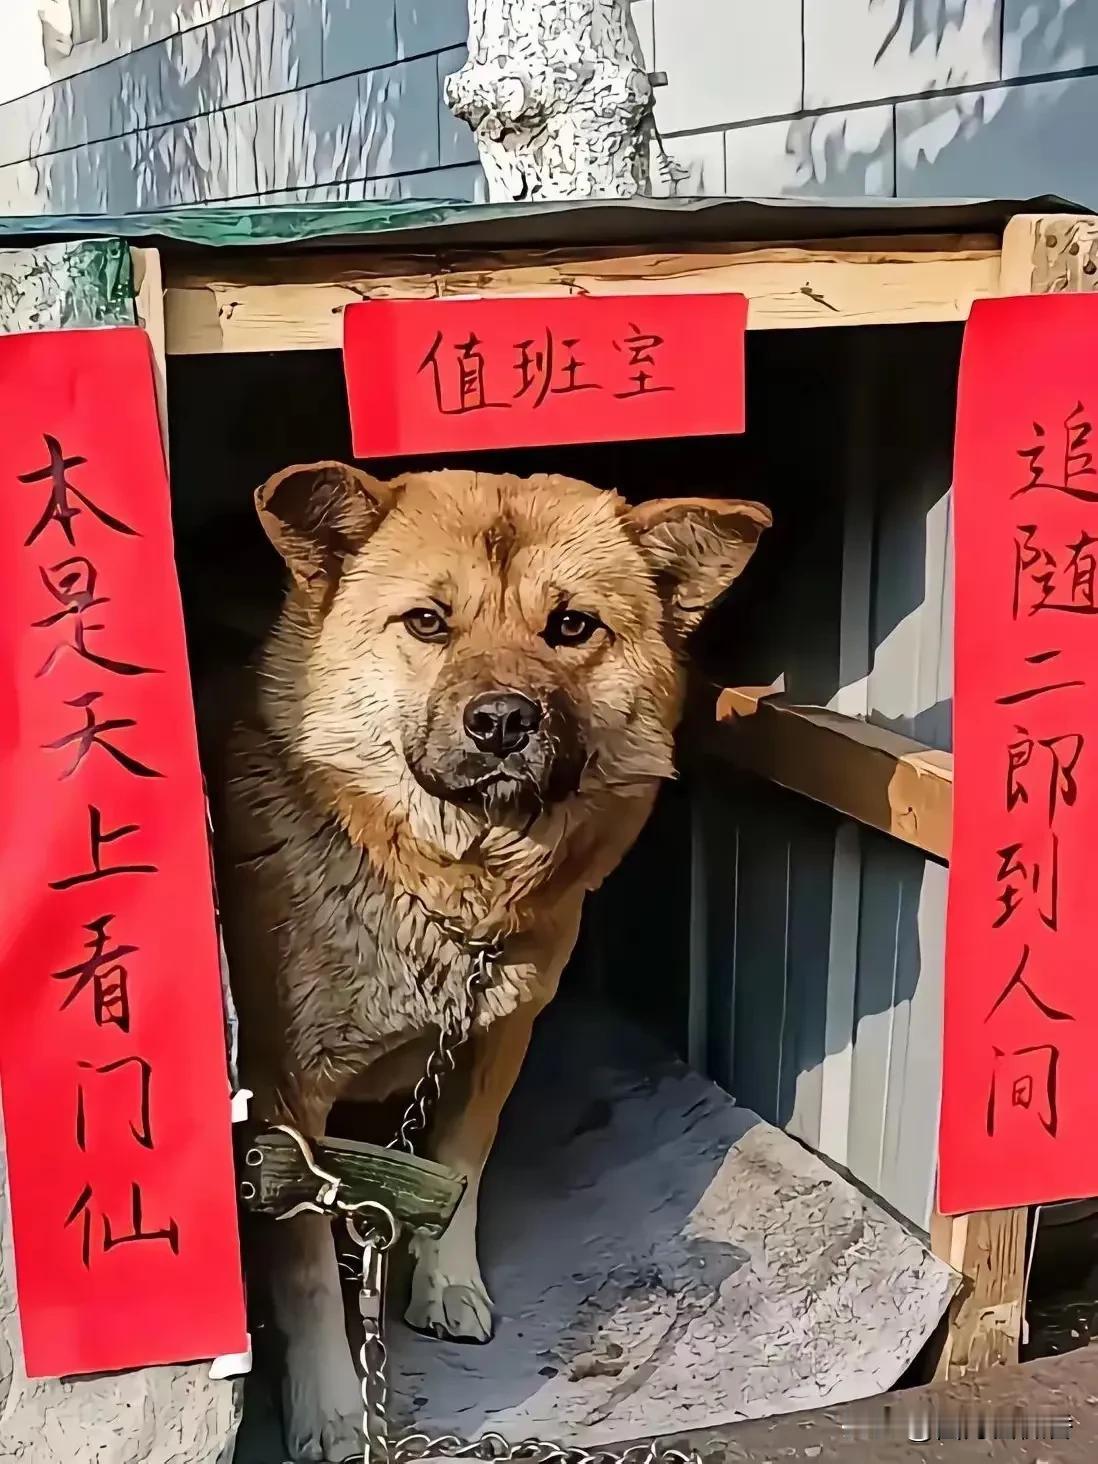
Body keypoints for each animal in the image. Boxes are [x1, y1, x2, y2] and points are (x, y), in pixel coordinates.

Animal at [216, 462, 772, 1458]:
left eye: (571, 626)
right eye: (428, 622)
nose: (505, 722)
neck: (446, 892)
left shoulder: (496, 1038)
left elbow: (462, 1164)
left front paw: (446, 1283)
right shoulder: (284, 1094)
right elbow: (310, 1269)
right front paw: (330, 1409)